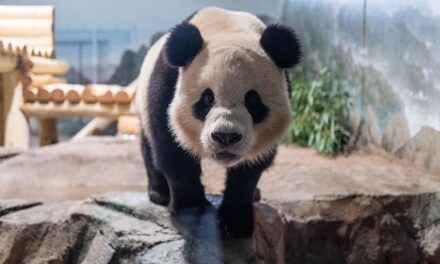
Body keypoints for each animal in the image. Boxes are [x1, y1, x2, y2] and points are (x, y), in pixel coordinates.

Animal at [136, 6, 300, 237]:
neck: (227, 28)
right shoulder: (167, 84)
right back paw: (159, 193)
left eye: (252, 100)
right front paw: (191, 209)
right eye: (207, 98)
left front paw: (236, 222)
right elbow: (172, 149)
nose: (225, 136)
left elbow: (250, 169)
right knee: (149, 147)